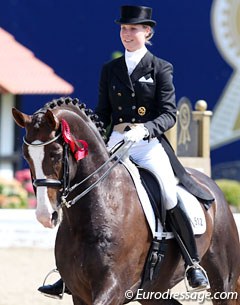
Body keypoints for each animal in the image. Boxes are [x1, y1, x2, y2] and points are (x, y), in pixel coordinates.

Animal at [12, 97, 240, 304]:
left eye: (56, 154)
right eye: (26, 156)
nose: (45, 215)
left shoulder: (114, 288)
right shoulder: (80, 293)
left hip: (224, 282)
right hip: (153, 291)